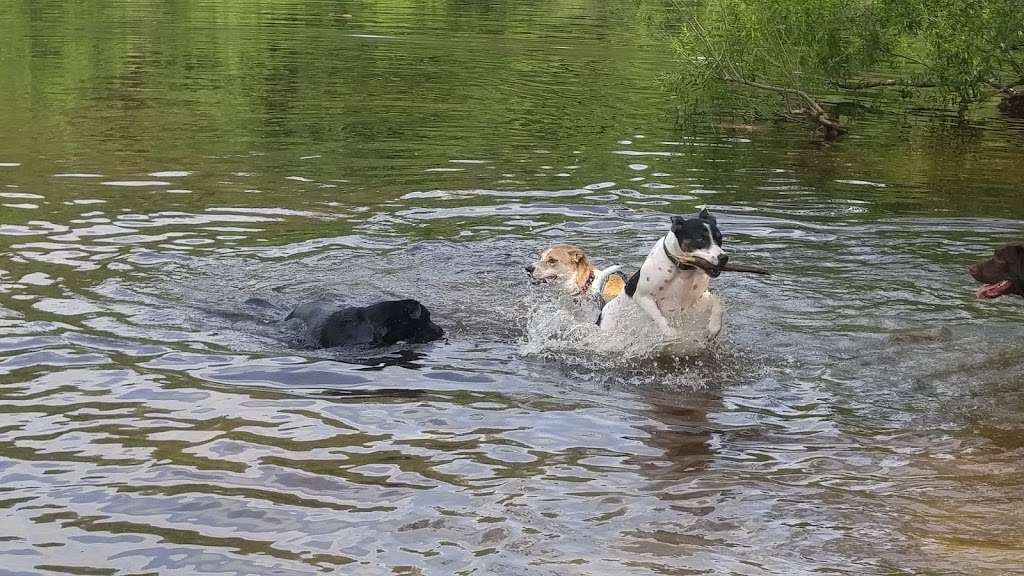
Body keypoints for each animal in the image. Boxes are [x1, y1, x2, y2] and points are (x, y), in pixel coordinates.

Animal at [598, 208, 729, 348]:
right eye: (700, 239)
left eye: (720, 238)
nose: (724, 258)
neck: (683, 271)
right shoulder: (643, 297)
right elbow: (659, 318)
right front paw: (672, 335)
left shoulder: (699, 297)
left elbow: (717, 305)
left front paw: (714, 327)